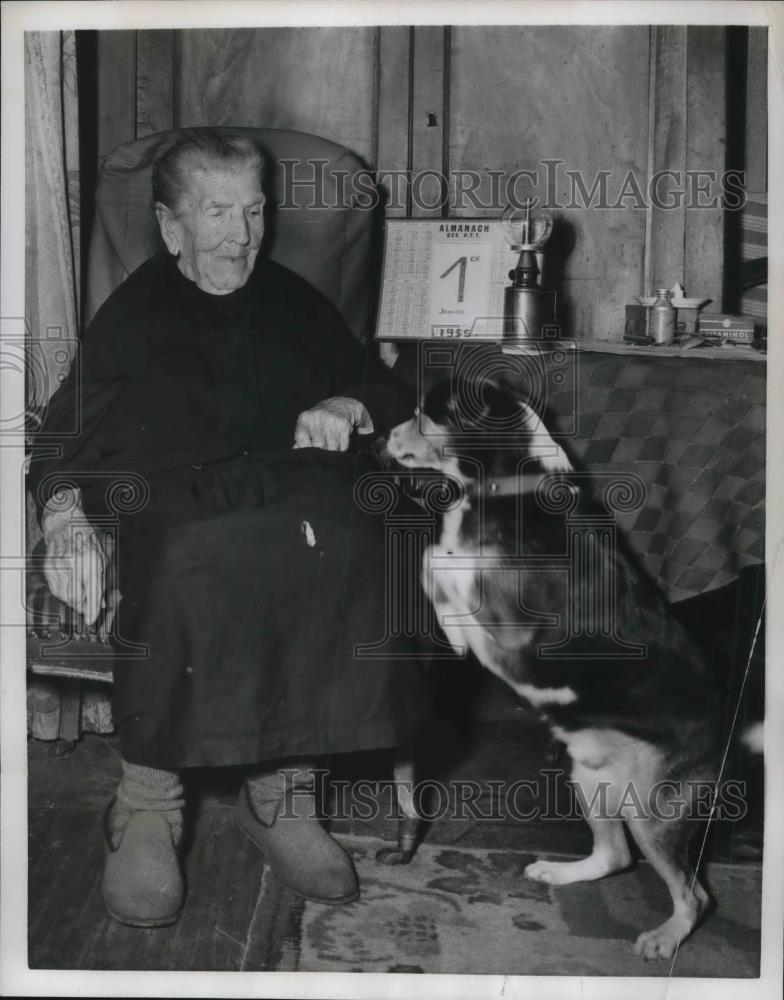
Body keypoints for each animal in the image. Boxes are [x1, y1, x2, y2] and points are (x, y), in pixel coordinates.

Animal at [386, 376, 724, 960]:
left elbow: (438, 558)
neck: (508, 485)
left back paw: (664, 939)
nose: (382, 435)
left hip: (653, 810)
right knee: (616, 857)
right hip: (592, 779)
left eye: (425, 414)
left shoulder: (508, 631)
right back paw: (561, 873)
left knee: (694, 894)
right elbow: (441, 559)